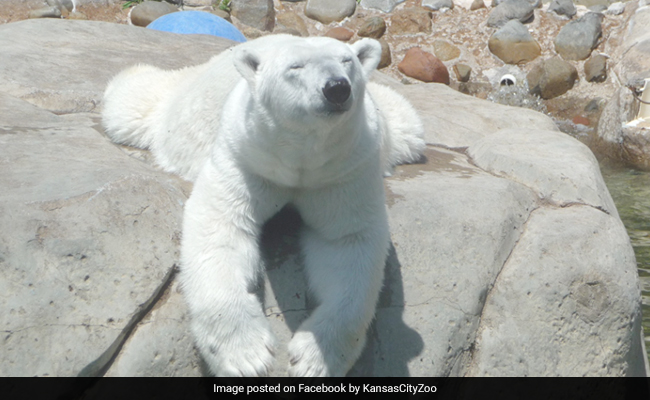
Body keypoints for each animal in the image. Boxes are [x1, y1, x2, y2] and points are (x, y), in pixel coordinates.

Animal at [102, 34, 425, 377]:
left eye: (346, 61)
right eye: (296, 66)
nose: (337, 88)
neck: (300, 158)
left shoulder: (345, 169)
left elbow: (348, 243)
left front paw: (314, 360)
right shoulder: (244, 155)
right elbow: (222, 224)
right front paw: (246, 357)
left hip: (392, 126)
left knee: (408, 123)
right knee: (131, 98)